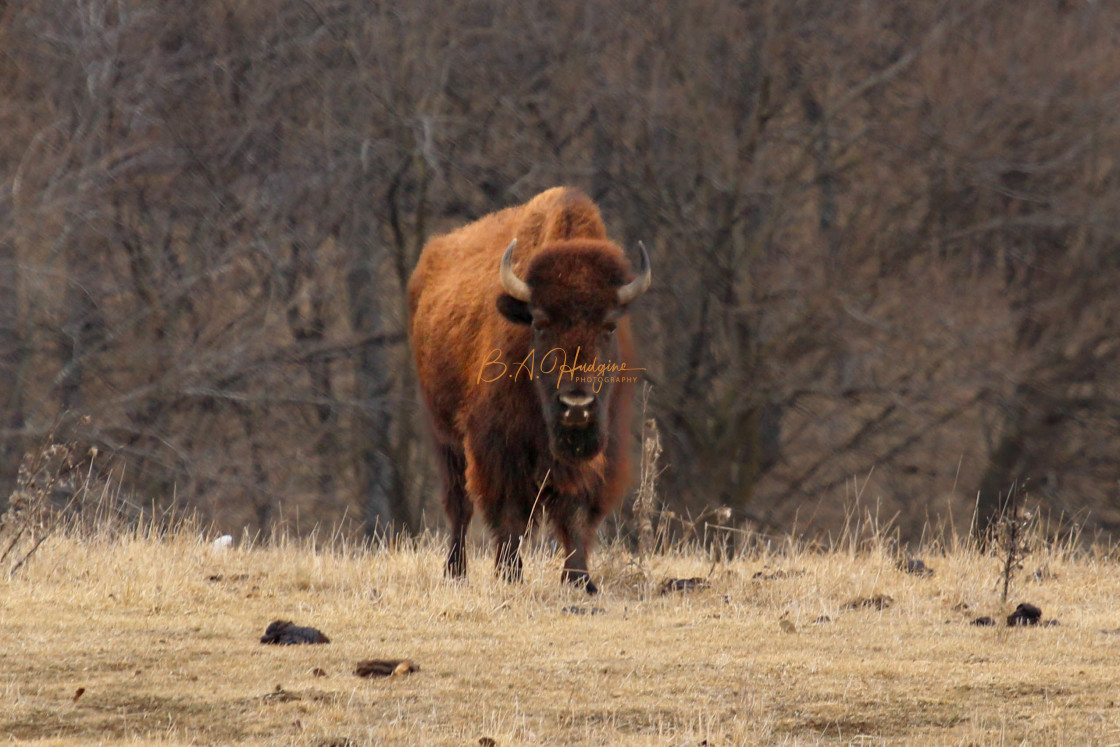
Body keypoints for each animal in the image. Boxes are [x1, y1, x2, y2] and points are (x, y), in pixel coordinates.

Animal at [405, 188, 649, 595]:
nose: (576, 403)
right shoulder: (498, 447)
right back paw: (455, 571)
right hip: (445, 438)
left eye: (610, 325)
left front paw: (580, 579)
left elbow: (576, 512)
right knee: (459, 505)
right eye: (539, 322)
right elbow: (509, 515)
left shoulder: (600, 450)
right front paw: (509, 574)